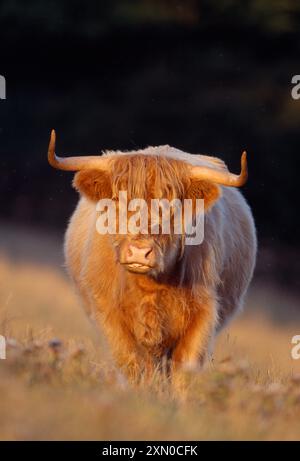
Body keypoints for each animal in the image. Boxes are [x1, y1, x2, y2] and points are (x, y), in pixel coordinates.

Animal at [48, 129, 256, 380]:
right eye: (117, 200)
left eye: (172, 207)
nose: (139, 252)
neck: (150, 288)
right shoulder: (109, 312)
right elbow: (132, 364)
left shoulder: (203, 314)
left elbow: (185, 369)